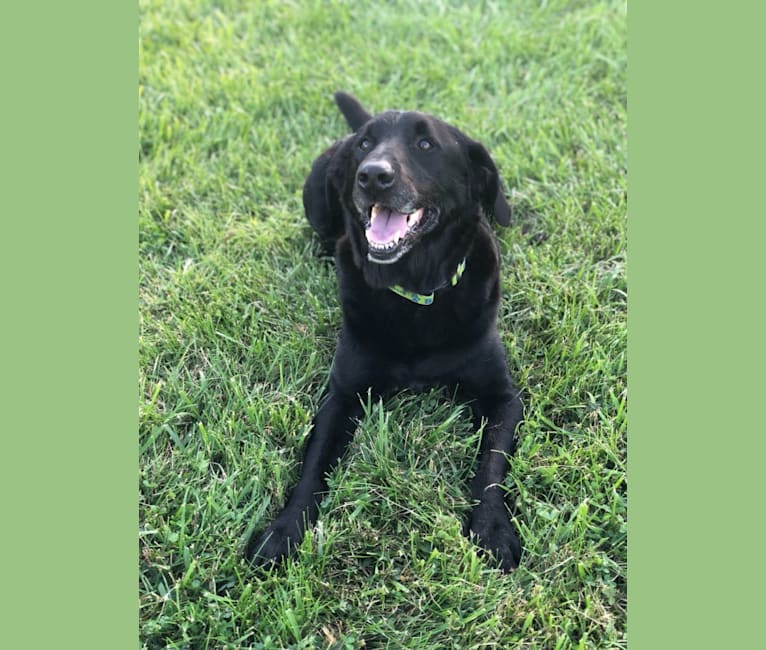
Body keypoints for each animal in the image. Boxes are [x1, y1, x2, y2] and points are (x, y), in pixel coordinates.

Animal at [249, 93, 524, 568]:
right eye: (365, 144)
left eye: (426, 145)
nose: (372, 175)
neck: (414, 294)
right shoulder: (341, 396)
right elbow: (312, 466)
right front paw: (284, 531)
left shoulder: (504, 398)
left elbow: (490, 465)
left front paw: (492, 528)